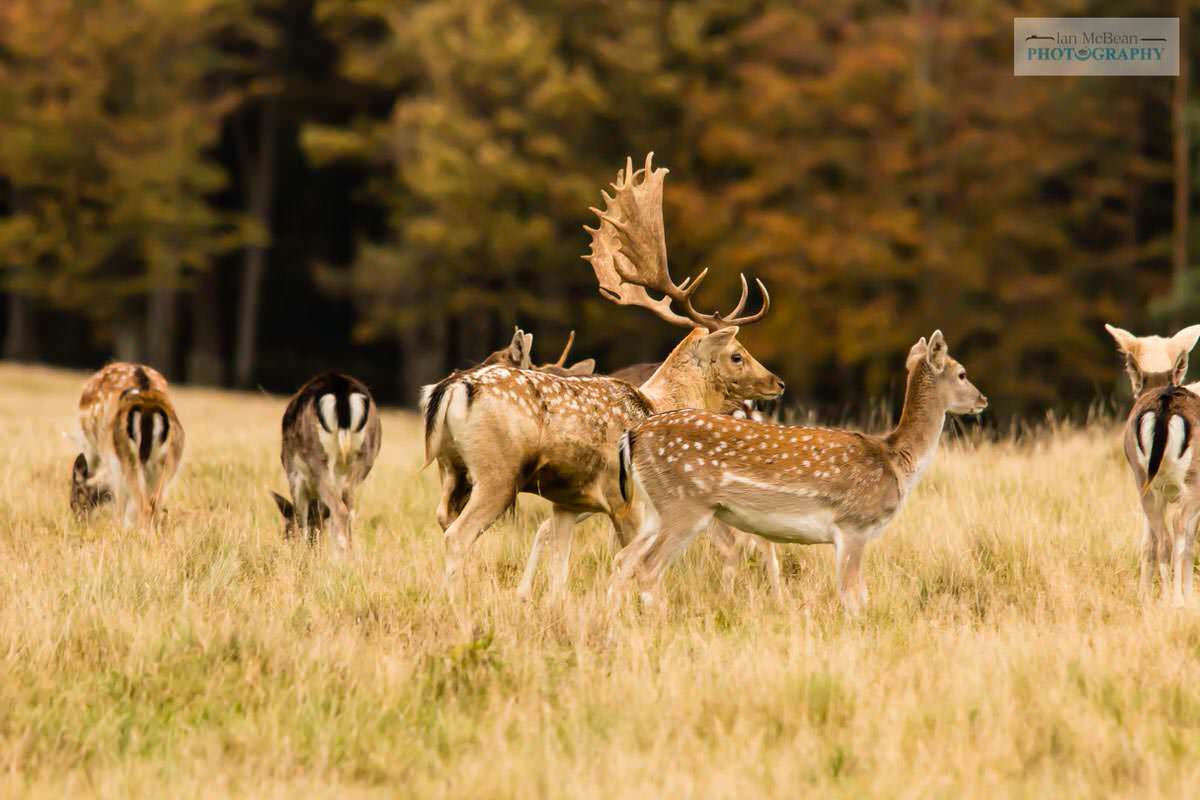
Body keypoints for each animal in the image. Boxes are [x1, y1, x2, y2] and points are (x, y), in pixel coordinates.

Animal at [74, 362, 184, 532]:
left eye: (76, 494)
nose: (78, 520)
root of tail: (148, 408)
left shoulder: (112, 461)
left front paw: (119, 528)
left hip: (127, 459)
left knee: (143, 505)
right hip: (168, 461)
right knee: (153, 503)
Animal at [270, 371, 381, 554]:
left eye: (286, 532)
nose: (284, 544)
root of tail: (342, 389)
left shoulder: (295, 476)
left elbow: (302, 520)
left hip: (317, 458)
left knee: (340, 510)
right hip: (366, 455)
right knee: (349, 506)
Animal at [424, 153, 787, 597]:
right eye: (737, 355)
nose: (776, 382)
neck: (657, 402)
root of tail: (455, 386)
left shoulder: (567, 502)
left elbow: (559, 566)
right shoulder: (626, 500)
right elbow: (631, 560)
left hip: (451, 470)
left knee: (445, 520)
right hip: (497, 474)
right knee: (458, 535)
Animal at [609, 331, 984, 614]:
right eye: (962, 373)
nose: (983, 400)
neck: (896, 462)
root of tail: (634, 435)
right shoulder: (853, 524)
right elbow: (853, 596)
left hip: (656, 509)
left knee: (624, 559)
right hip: (685, 506)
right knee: (648, 568)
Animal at [1108, 321, 1200, 604]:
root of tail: (1165, 407)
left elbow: (1148, 543)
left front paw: (1144, 596)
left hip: (1143, 482)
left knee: (1163, 541)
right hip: (1191, 482)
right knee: (1180, 532)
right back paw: (1180, 600)